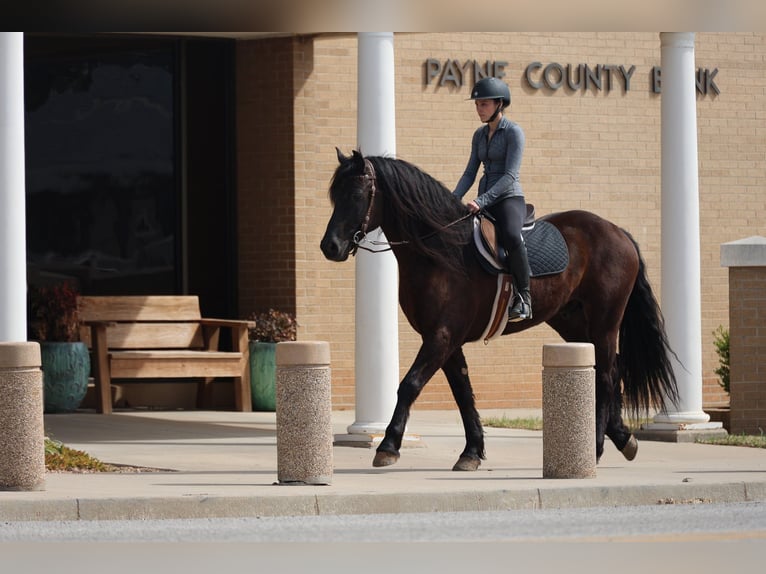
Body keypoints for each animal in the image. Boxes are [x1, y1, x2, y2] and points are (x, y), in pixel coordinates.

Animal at [320, 149, 679, 471]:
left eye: (356, 194)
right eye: (334, 195)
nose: (330, 247)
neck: (441, 251)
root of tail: (617, 231)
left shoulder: (441, 337)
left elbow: (409, 385)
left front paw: (388, 446)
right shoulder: (446, 340)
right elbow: (463, 392)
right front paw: (471, 452)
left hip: (605, 321)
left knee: (604, 375)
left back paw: (597, 447)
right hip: (573, 323)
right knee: (612, 369)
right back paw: (622, 438)